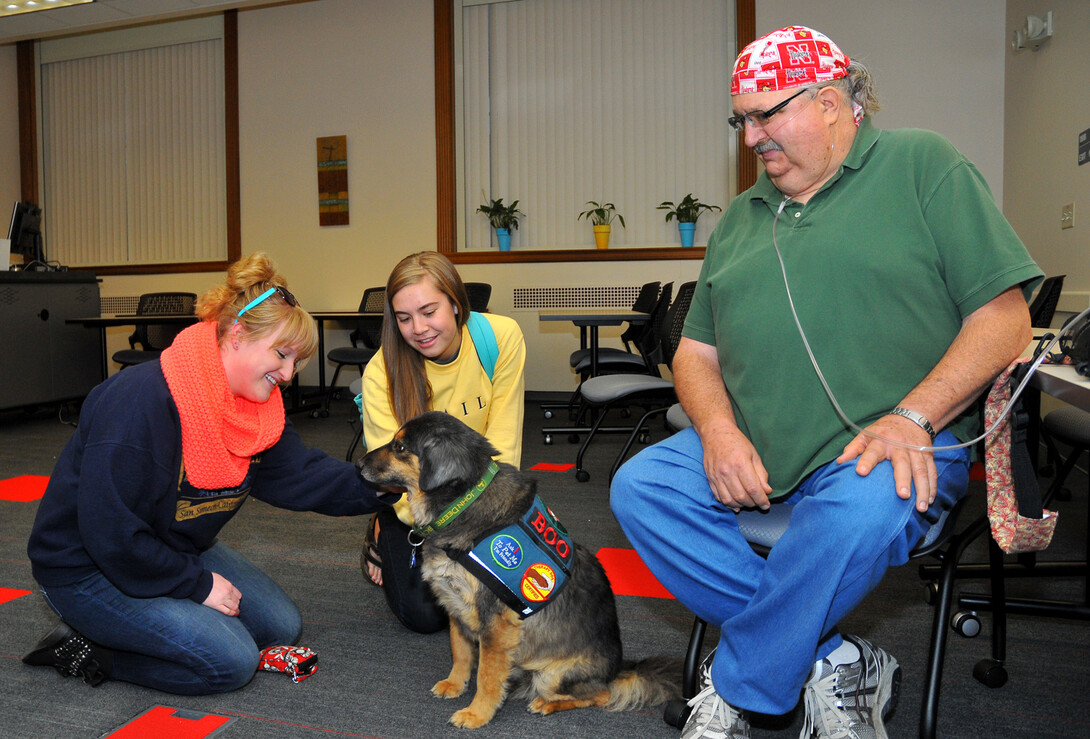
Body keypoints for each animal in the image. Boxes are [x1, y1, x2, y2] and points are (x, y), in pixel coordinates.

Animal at [361, 414, 675, 732]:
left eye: (400, 447)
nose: (359, 464)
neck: (463, 504)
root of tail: (617, 670)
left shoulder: (495, 621)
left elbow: (487, 675)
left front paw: (477, 713)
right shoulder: (455, 606)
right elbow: (460, 651)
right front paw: (455, 684)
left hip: (554, 675)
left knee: (600, 695)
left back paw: (547, 703)